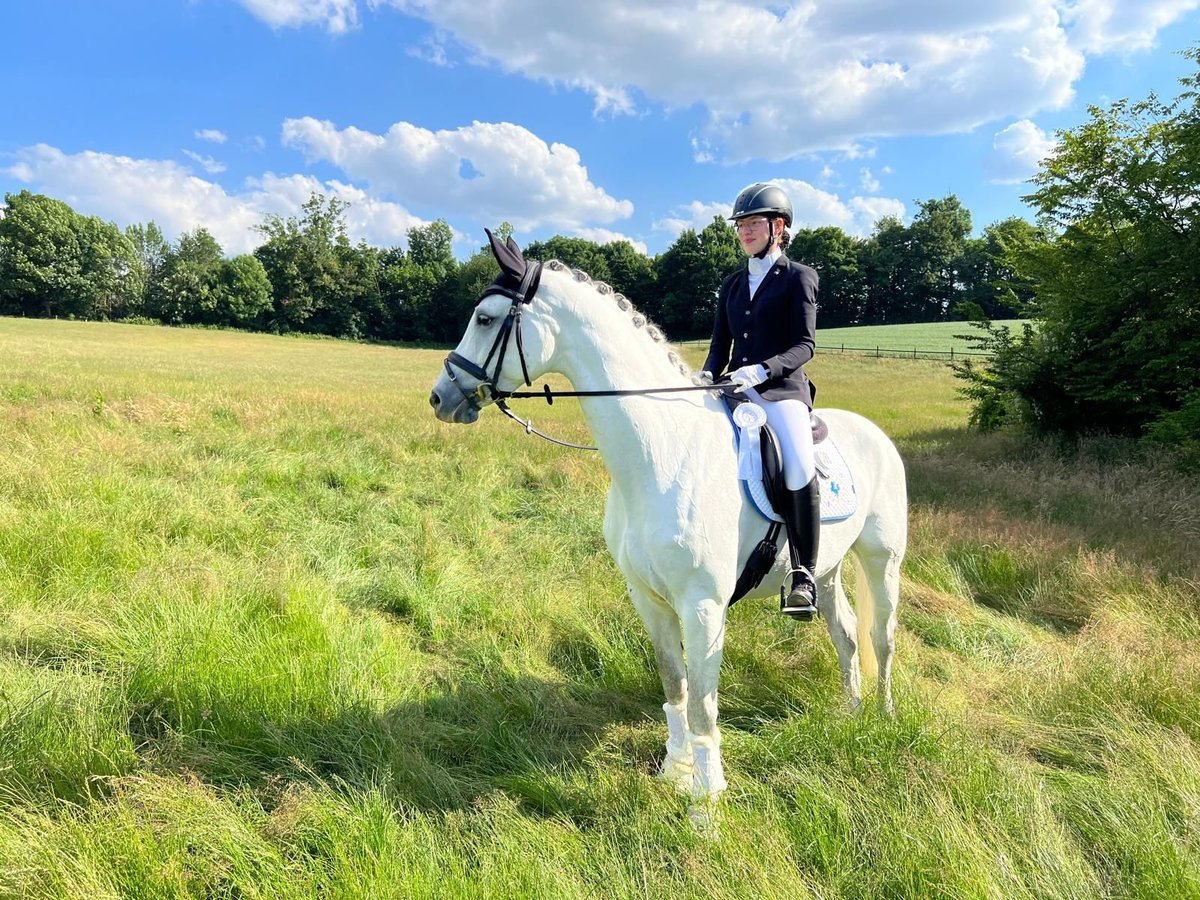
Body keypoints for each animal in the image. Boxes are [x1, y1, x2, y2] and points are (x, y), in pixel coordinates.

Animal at [429, 232, 907, 819]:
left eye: (486, 318)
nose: (440, 397)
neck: (661, 453)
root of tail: (874, 432)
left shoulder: (702, 606)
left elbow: (703, 706)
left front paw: (705, 806)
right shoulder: (649, 598)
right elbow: (675, 687)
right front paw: (674, 773)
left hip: (882, 561)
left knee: (882, 637)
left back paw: (882, 717)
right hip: (827, 567)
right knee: (846, 634)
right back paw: (850, 711)